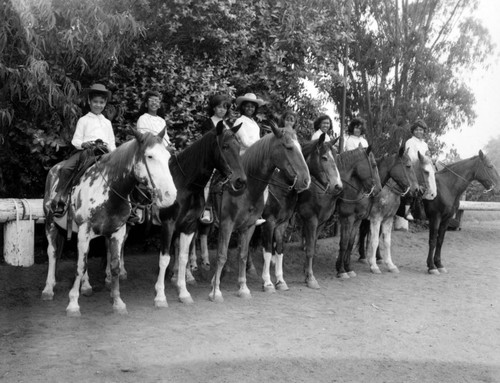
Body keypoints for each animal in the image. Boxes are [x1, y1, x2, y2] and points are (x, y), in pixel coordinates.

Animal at [41, 130, 178, 316]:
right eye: (149, 156)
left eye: (168, 157)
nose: (170, 195)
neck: (108, 189)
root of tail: (54, 169)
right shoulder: (84, 230)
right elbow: (80, 266)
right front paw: (73, 304)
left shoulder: (117, 232)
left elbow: (114, 266)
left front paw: (118, 302)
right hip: (50, 224)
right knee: (53, 253)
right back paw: (48, 288)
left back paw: (86, 286)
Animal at [153, 121, 245, 308]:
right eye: (225, 146)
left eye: (238, 147)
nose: (241, 180)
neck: (184, 184)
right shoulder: (168, 224)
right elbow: (164, 258)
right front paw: (160, 297)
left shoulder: (188, 226)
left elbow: (183, 257)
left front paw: (183, 293)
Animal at [206, 124, 308, 302]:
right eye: (288, 147)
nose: (306, 179)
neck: (248, 189)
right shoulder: (258, 223)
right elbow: (265, 251)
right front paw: (267, 283)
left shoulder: (260, 225)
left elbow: (249, 253)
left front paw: (247, 287)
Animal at [258, 134, 344, 292]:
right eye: (324, 157)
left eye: (336, 157)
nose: (338, 186)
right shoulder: (311, 220)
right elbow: (309, 249)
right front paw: (310, 278)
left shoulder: (320, 223)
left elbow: (312, 247)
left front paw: (306, 272)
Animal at [336, 147, 382, 280]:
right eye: (374, 164)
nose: (379, 190)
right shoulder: (347, 219)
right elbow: (344, 243)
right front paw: (341, 270)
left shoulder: (357, 219)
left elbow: (350, 244)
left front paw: (348, 267)